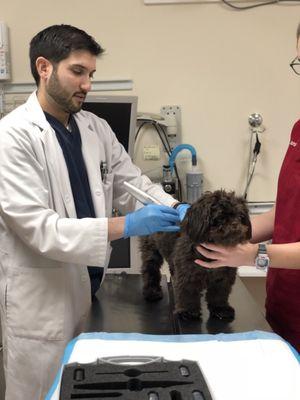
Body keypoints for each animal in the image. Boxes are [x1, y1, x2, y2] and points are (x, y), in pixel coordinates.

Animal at [139, 191, 252, 322]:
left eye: (240, 216)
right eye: (220, 217)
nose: (234, 224)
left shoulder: (223, 276)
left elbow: (219, 294)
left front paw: (221, 309)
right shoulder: (188, 275)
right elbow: (188, 293)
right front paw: (188, 312)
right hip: (151, 251)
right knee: (150, 269)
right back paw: (151, 292)